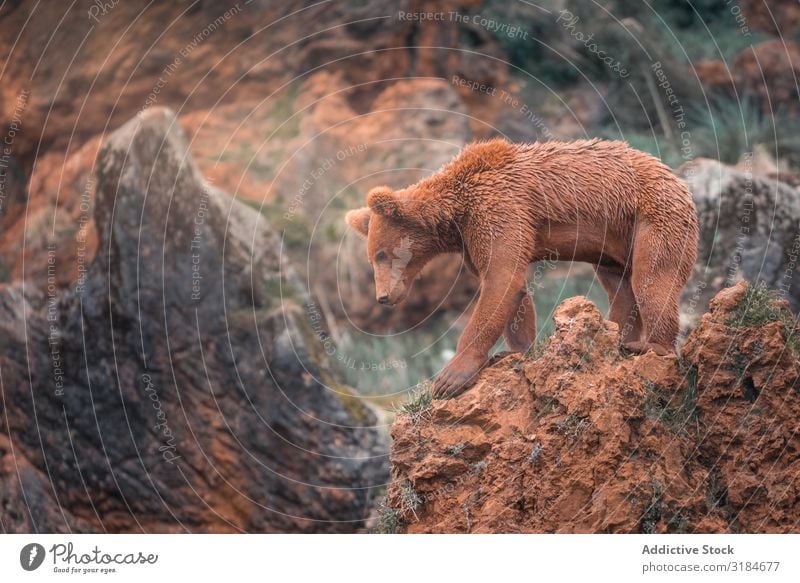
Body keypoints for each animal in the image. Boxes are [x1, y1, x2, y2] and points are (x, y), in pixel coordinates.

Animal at [346, 139, 696, 400]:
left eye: (382, 254)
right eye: (372, 258)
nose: (383, 297)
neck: (455, 213)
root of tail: (678, 180)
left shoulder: (497, 209)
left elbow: (502, 281)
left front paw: (450, 377)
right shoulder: (473, 237)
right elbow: (511, 291)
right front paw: (516, 351)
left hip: (653, 217)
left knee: (652, 278)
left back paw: (652, 346)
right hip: (614, 241)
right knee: (619, 285)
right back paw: (616, 334)